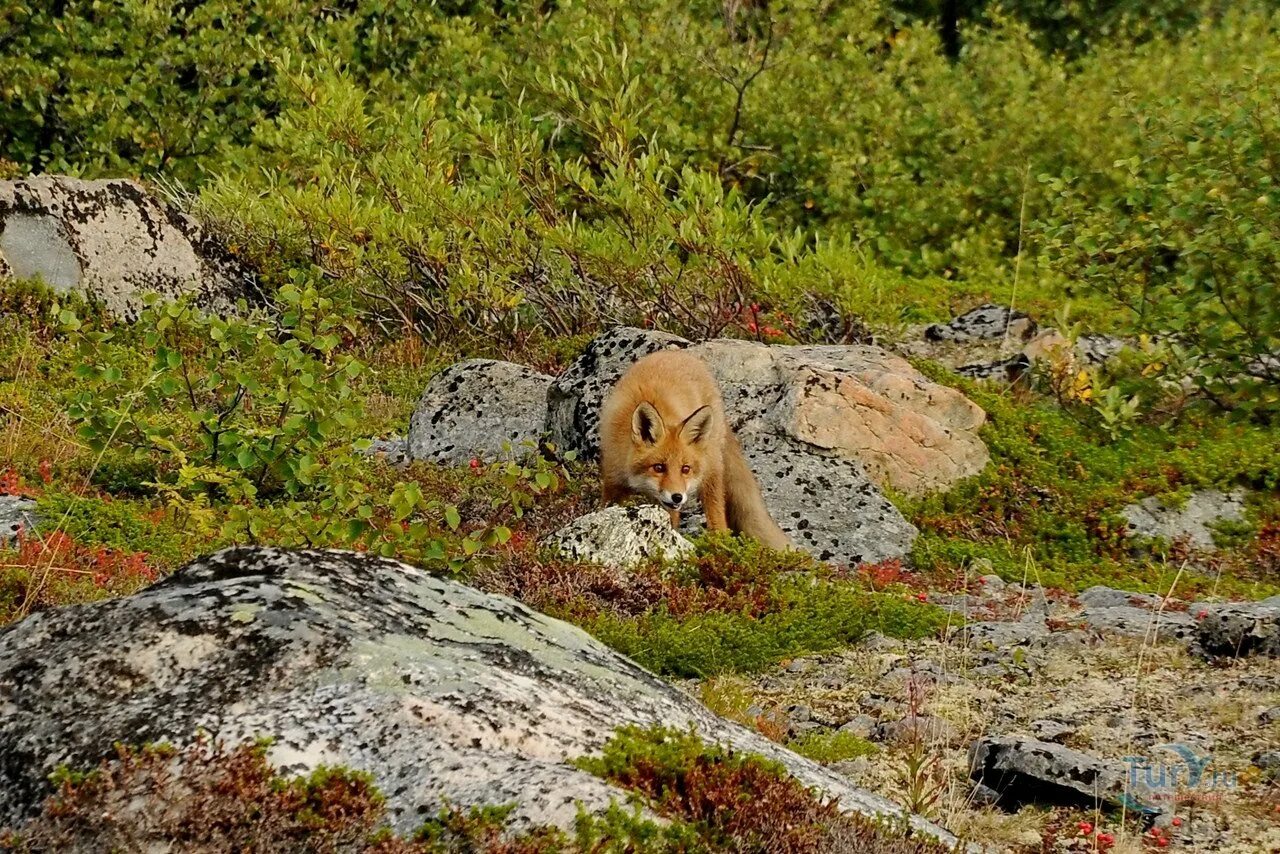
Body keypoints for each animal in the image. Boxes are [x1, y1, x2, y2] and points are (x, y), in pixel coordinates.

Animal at [599, 350, 788, 550]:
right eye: (658, 467)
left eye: (685, 469)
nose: (677, 497)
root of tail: (681, 354)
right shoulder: (613, 480)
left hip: (711, 473)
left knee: (717, 516)